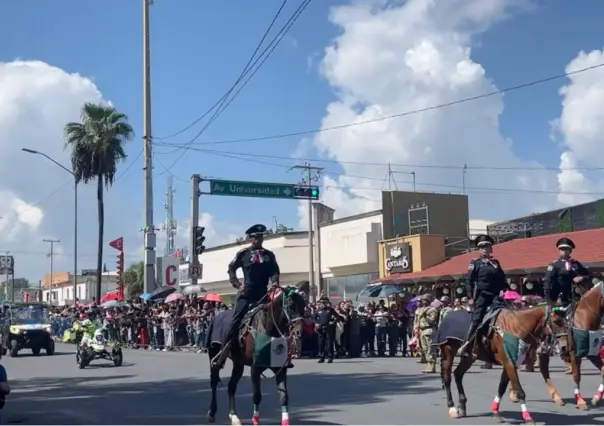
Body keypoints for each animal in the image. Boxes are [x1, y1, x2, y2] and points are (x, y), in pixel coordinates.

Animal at [205, 286, 306, 426]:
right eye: (291, 306)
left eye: (304, 305)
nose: (299, 332)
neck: (268, 328)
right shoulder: (255, 369)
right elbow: (257, 396)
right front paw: (255, 420)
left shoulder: (280, 369)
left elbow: (284, 396)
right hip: (214, 355)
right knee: (214, 381)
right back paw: (211, 413)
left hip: (238, 363)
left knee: (231, 386)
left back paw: (234, 416)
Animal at [436, 302, 568, 424]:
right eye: (556, 321)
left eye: (566, 321)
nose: (564, 347)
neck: (515, 328)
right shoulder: (509, 363)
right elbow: (520, 391)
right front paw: (527, 417)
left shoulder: (510, 363)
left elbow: (502, 387)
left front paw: (495, 412)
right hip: (448, 352)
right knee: (447, 378)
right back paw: (452, 408)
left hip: (469, 358)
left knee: (458, 374)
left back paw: (462, 406)